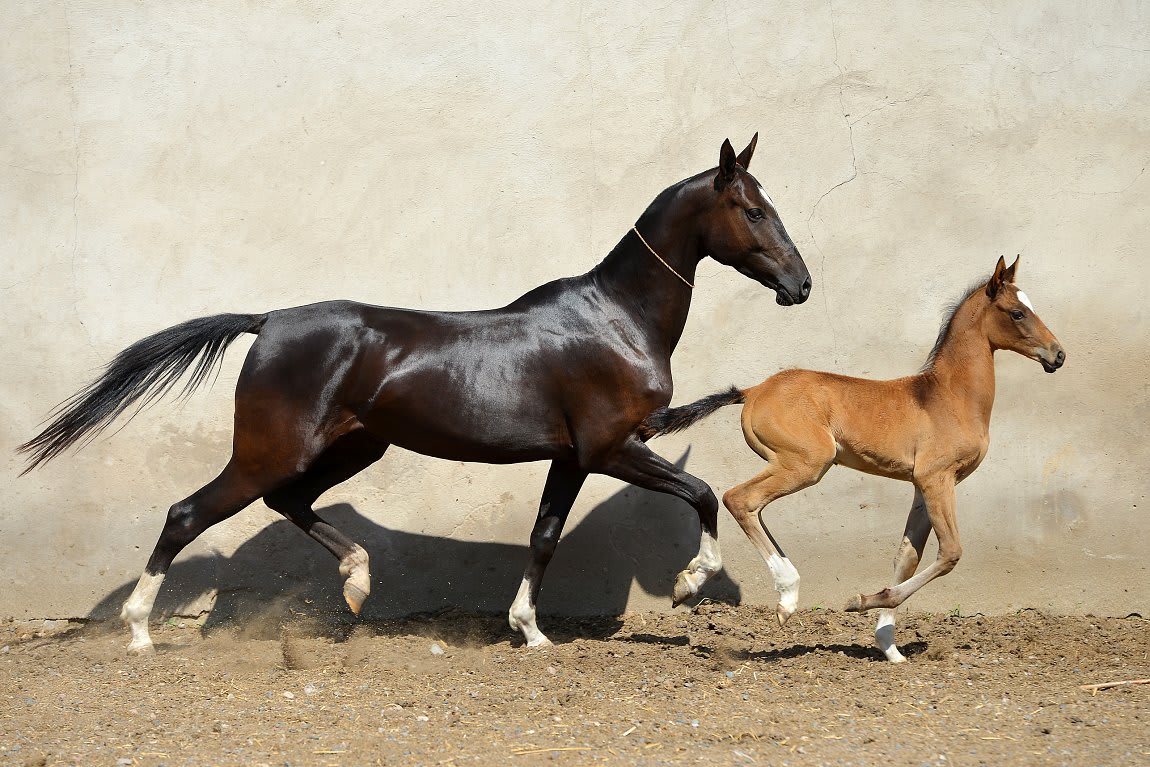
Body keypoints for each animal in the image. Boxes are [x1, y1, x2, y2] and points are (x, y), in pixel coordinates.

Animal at [18, 135, 812, 652]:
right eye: (751, 209)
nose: (800, 285)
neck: (617, 319)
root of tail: (268, 320)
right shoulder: (611, 448)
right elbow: (704, 492)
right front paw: (727, 583)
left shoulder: (569, 457)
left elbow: (545, 535)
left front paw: (529, 631)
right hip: (272, 451)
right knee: (188, 513)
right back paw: (139, 632)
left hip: (353, 446)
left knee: (289, 502)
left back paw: (357, 582)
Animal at [640, 256, 1064, 662]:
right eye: (1017, 312)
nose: (1058, 355)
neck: (947, 396)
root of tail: (754, 390)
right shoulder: (937, 479)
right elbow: (950, 553)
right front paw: (860, 601)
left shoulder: (920, 486)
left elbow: (907, 556)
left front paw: (890, 648)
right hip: (808, 463)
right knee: (738, 499)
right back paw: (782, 598)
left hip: (795, 464)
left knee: (747, 505)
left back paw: (692, 583)